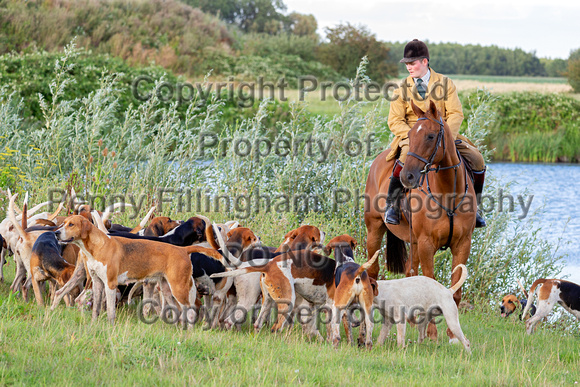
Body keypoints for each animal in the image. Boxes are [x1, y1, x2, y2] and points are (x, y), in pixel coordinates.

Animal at [368, 101, 476, 342]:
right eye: (409, 134)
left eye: (430, 136)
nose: (406, 177)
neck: (448, 193)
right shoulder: (427, 244)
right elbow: (430, 281)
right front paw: (432, 333)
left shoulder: (462, 244)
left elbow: (455, 290)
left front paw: (452, 335)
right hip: (375, 229)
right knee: (373, 270)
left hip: (414, 241)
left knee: (410, 272)